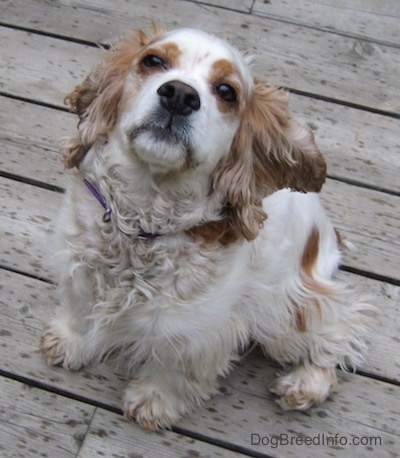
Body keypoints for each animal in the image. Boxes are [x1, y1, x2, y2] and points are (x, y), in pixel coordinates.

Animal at [39, 27, 372, 430]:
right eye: (153, 61)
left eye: (226, 91)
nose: (180, 95)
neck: (142, 219)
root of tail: (328, 236)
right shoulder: (79, 263)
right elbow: (81, 309)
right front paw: (70, 342)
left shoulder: (198, 327)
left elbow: (177, 366)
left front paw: (153, 401)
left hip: (291, 311)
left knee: (341, 329)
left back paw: (306, 383)